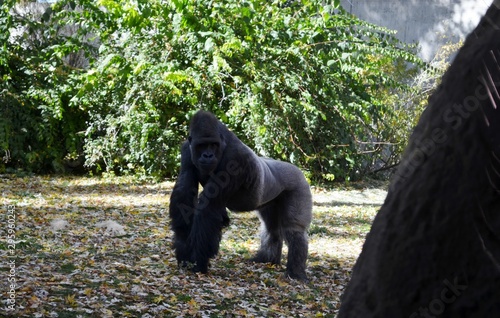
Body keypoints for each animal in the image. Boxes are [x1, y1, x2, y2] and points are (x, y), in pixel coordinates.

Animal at [170, 110, 310, 280]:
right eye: (201, 145)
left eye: (213, 145)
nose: (208, 155)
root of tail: (298, 170)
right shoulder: (186, 150)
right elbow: (183, 196)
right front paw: (183, 248)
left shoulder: (235, 158)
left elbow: (207, 208)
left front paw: (199, 262)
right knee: (271, 228)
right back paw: (266, 259)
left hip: (299, 185)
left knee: (295, 231)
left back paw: (295, 272)